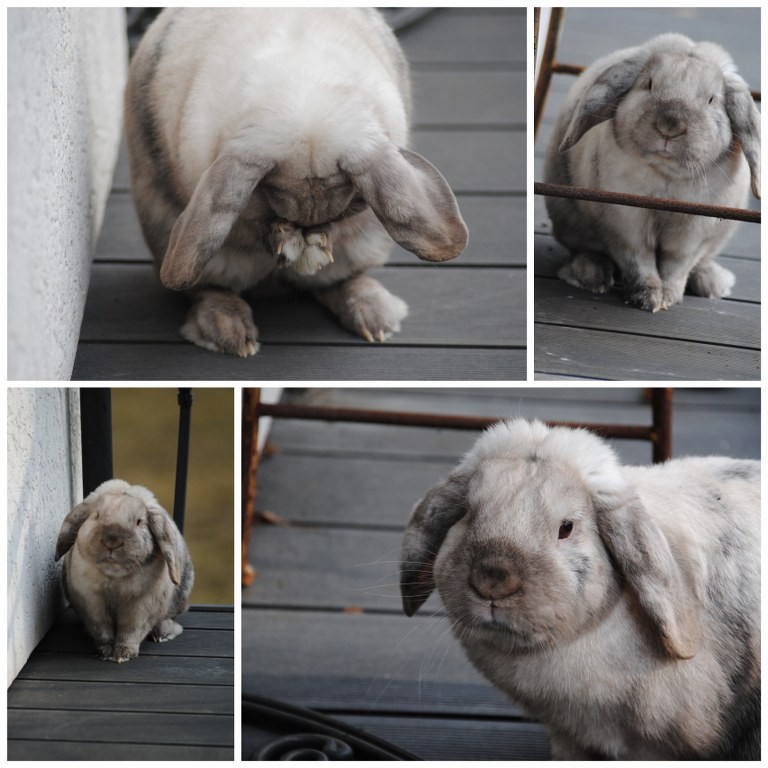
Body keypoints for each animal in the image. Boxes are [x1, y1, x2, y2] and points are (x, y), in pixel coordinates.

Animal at [53, 476, 194, 664]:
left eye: (139, 522)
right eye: (97, 516)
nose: (112, 541)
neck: (114, 577)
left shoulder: (140, 609)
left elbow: (130, 633)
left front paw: (123, 655)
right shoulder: (92, 606)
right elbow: (102, 632)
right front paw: (105, 653)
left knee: (168, 619)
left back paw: (162, 633)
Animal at [124, 9, 468, 356]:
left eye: (347, 209)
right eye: (266, 195)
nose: (307, 230)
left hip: (364, 245)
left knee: (342, 280)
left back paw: (375, 318)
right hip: (172, 233)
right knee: (208, 289)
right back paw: (231, 334)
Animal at [544, 33, 760, 312]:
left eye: (712, 100)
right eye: (648, 84)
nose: (670, 125)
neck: (666, 175)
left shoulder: (691, 234)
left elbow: (675, 265)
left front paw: (668, 297)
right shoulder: (625, 225)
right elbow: (639, 260)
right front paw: (649, 299)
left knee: (701, 263)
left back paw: (712, 284)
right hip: (569, 221)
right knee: (583, 249)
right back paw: (592, 276)